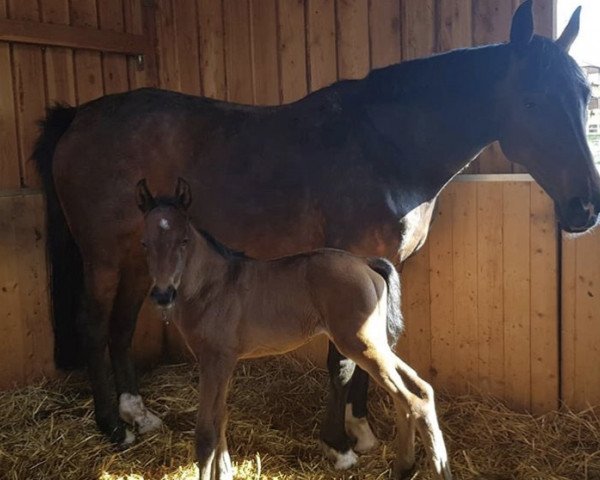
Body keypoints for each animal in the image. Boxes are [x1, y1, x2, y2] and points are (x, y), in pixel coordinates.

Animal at [138, 178, 450, 478]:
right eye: (145, 244)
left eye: (184, 240)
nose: (163, 294)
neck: (212, 286)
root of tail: (366, 263)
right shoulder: (221, 363)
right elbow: (221, 418)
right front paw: (225, 472)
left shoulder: (216, 360)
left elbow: (206, 433)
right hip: (375, 343)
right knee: (419, 391)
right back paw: (412, 467)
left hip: (361, 344)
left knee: (411, 399)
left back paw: (429, 467)